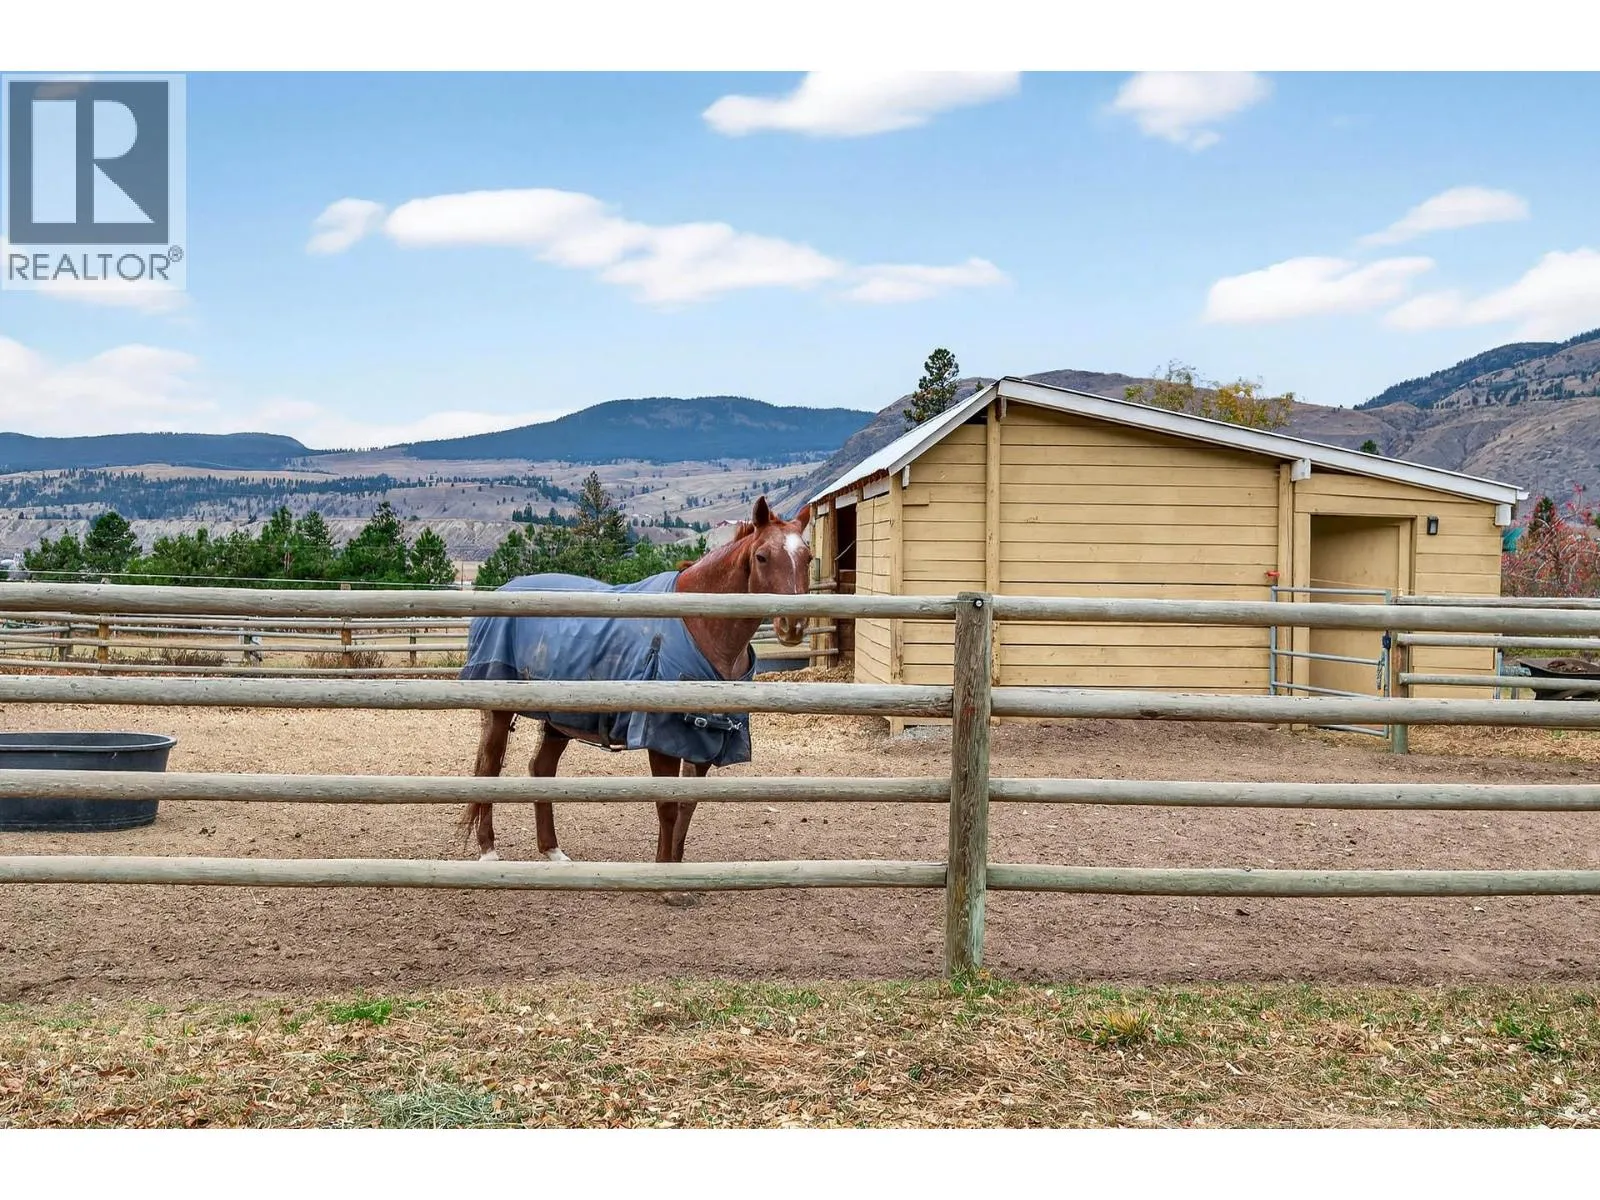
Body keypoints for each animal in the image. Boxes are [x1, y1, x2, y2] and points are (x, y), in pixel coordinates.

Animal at [460, 496, 813, 865]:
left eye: (808, 558)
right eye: (762, 556)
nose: (793, 625)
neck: (700, 626)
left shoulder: (703, 741)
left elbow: (687, 808)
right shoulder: (664, 741)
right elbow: (667, 808)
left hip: (561, 718)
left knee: (541, 769)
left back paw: (553, 851)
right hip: (499, 712)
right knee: (488, 769)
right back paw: (488, 850)